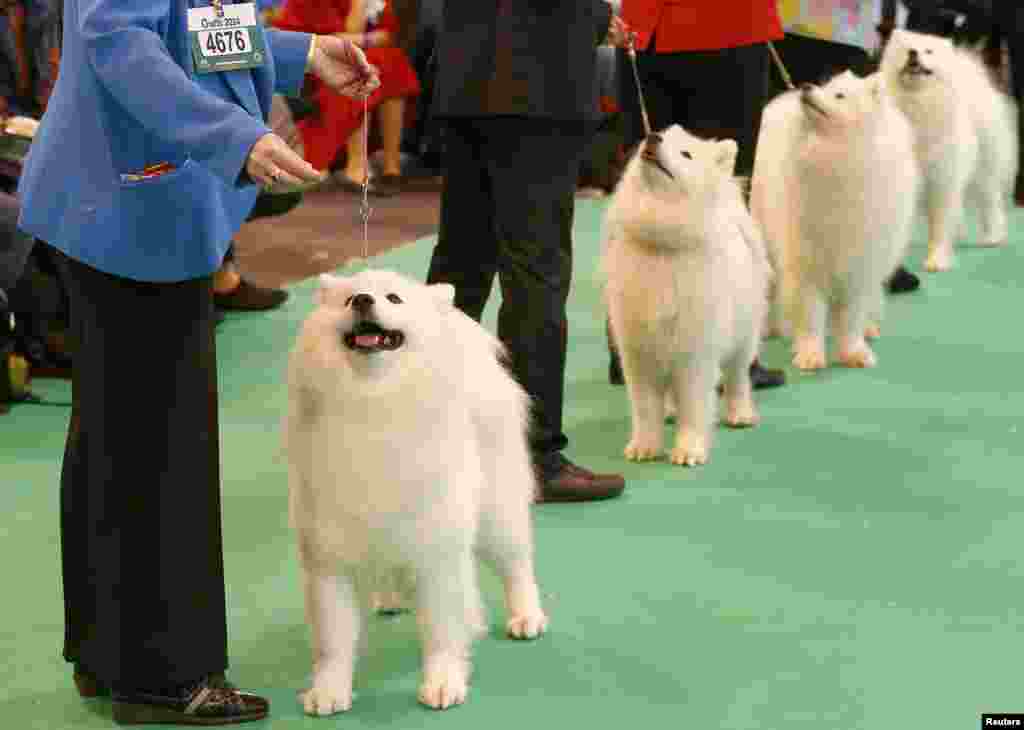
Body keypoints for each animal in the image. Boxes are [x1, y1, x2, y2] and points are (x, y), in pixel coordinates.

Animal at [284, 268, 548, 712]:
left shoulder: (437, 551)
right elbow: (334, 639)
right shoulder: (330, 556)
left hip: (495, 512)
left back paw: (526, 617)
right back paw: (390, 599)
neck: (372, 404)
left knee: (517, 565)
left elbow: (442, 630)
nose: (363, 301)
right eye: (348, 299)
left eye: (393, 298)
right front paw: (329, 691)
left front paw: (443, 684)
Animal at [598, 125, 770, 466]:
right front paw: (645, 446)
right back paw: (668, 412)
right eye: (656, 136)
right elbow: (645, 407)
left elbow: (693, 405)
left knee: (738, 377)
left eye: (686, 154)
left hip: (743, 337)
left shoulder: (695, 353)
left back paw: (740, 413)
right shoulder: (638, 353)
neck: (663, 243)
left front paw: (688, 449)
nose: (652, 137)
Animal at [753, 71, 921, 370]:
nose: (805, 87)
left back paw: (868, 328)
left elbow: (852, 316)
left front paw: (854, 352)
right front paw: (810, 355)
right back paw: (770, 329)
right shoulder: (808, 264)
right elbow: (811, 314)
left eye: (839, 95)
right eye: (825, 86)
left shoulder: (860, 266)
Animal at [880, 27, 1015, 274]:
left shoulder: (942, 180)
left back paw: (993, 236)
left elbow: (940, 226)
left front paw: (937, 260)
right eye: (907, 49)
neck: (918, 106)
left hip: (984, 168)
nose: (913, 53)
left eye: (928, 51)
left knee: (990, 202)